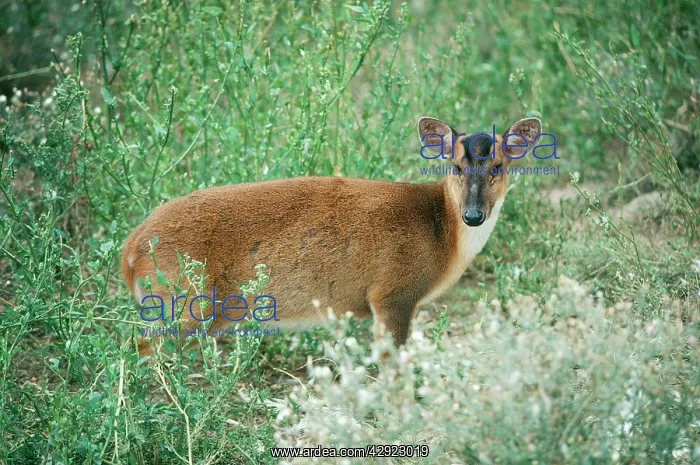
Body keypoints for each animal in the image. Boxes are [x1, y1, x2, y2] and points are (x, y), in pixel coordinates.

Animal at [122, 116, 542, 357]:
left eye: (498, 167)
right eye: (454, 166)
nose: (473, 215)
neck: (441, 233)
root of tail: (129, 250)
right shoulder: (392, 290)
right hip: (184, 299)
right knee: (139, 349)